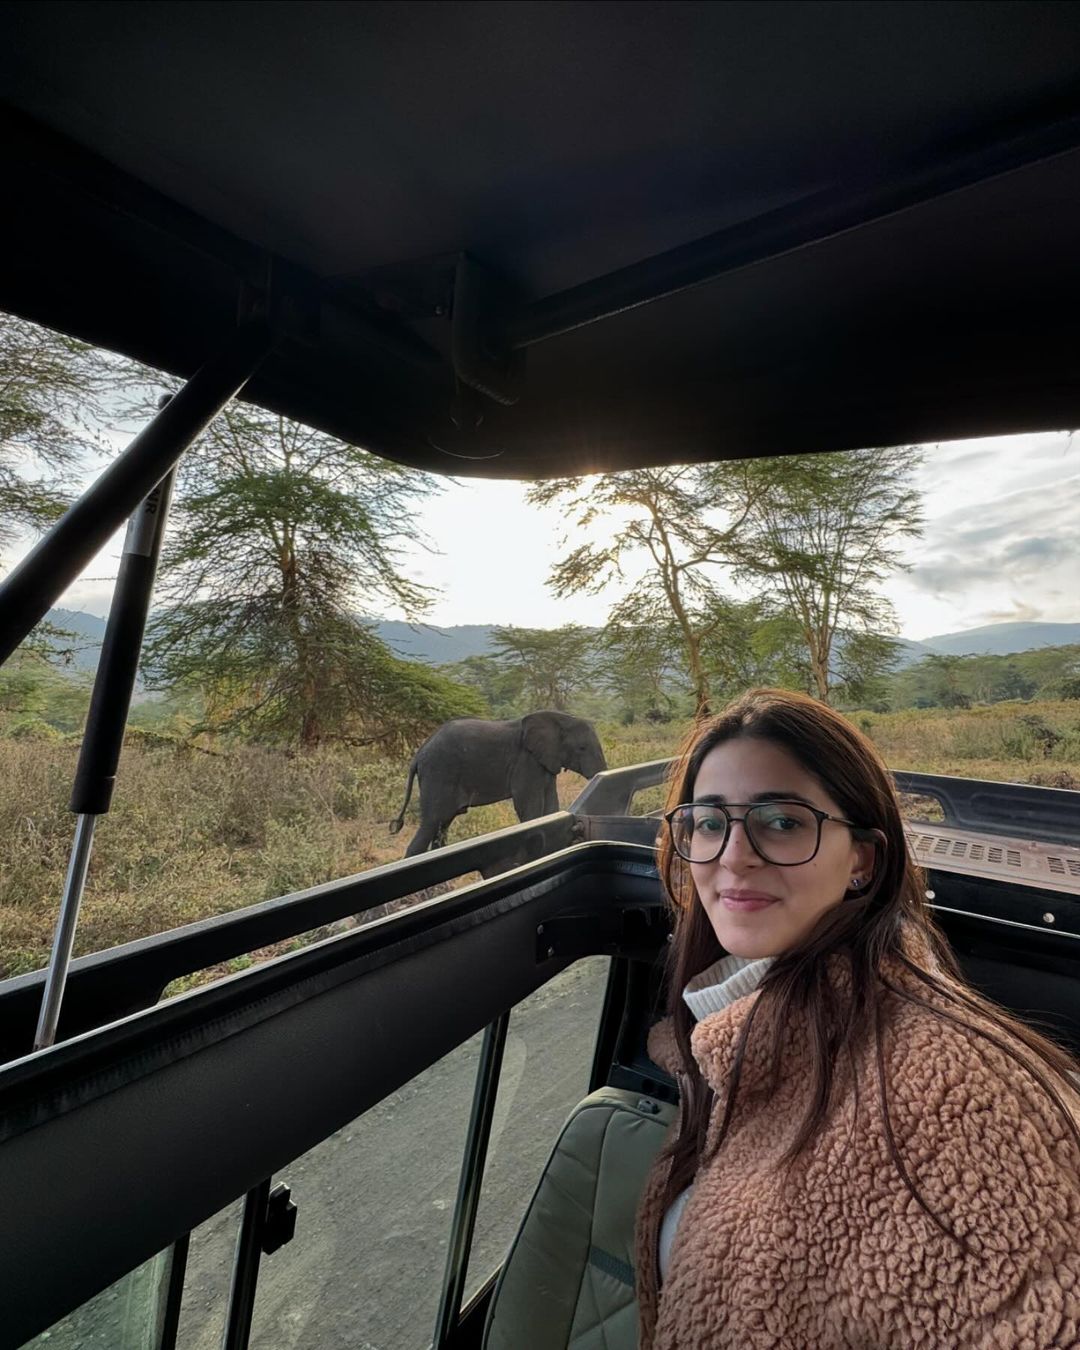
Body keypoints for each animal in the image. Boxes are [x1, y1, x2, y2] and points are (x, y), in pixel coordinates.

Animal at [388, 707, 607, 853]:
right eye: (582, 748)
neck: (560, 717)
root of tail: (418, 755)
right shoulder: (525, 761)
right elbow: (529, 807)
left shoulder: (544, 763)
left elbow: (551, 805)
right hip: (439, 772)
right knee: (431, 823)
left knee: (442, 825)